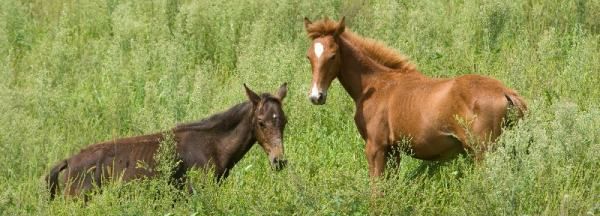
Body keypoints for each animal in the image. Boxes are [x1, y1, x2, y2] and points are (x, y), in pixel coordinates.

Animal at [304, 17, 524, 177]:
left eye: (333, 55)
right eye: (309, 56)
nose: (316, 96)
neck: (376, 84)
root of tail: (506, 92)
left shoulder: (376, 147)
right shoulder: (394, 151)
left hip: (482, 152)